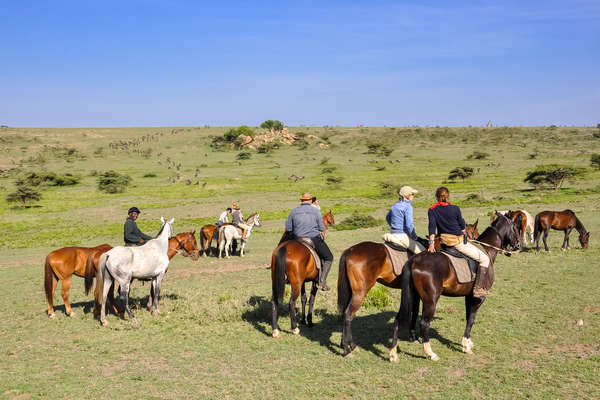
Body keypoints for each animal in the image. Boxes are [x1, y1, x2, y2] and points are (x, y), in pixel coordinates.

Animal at [336, 222, 480, 356]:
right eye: (474, 232)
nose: (476, 240)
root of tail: (350, 250)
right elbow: (415, 311)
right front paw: (414, 336)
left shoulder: (414, 293)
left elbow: (414, 310)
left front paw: (413, 336)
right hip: (360, 292)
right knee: (348, 314)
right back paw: (349, 348)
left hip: (352, 291)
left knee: (344, 313)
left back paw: (344, 344)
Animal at [390, 214, 520, 364]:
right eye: (515, 227)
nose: (519, 245)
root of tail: (414, 260)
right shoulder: (478, 298)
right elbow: (471, 319)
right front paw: (466, 346)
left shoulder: (469, 296)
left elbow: (468, 317)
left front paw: (467, 342)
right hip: (431, 300)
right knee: (424, 323)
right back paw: (431, 353)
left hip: (411, 296)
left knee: (398, 319)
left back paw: (393, 354)